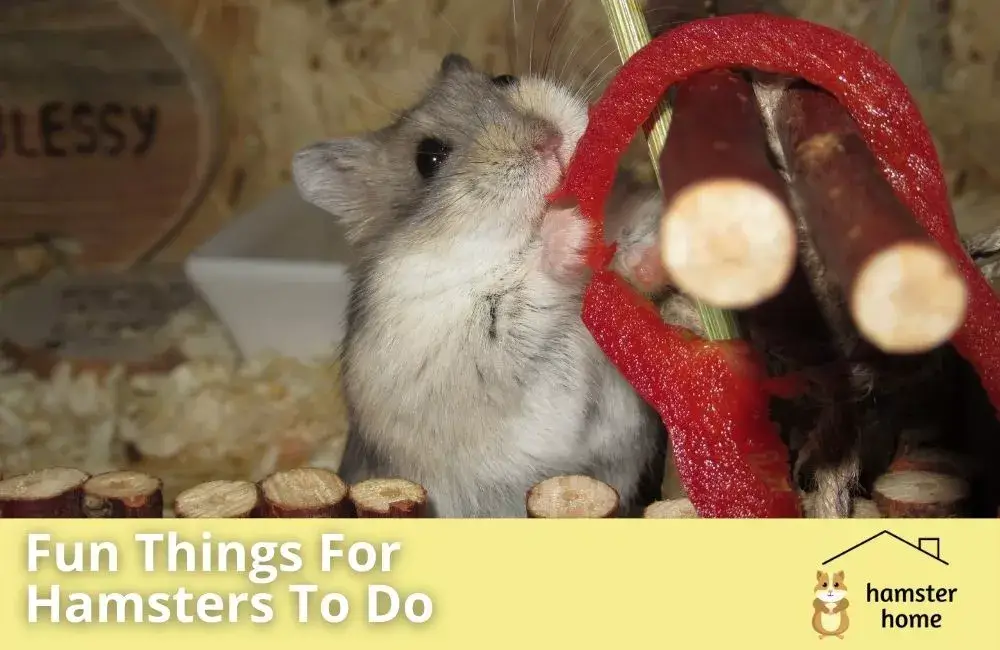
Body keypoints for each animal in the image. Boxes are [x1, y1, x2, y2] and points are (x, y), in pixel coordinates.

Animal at [292, 53, 667, 517]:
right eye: (428, 157)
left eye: (503, 78)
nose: (549, 140)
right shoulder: (456, 346)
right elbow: (521, 291)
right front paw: (571, 230)